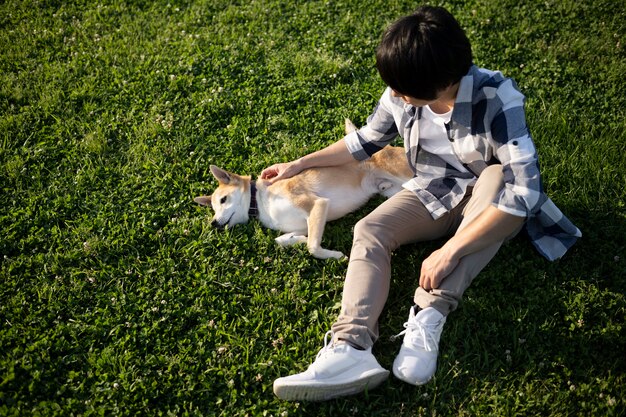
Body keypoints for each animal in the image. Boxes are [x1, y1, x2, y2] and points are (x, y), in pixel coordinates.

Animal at [193, 118, 412, 258]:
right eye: (213, 209)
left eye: (223, 200)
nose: (213, 223)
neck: (259, 202)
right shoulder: (307, 222)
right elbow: (283, 240)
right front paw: (295, 239)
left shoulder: (316, 204)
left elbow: (312, 247)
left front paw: (334, 255)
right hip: (392, 191)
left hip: (403, 173)